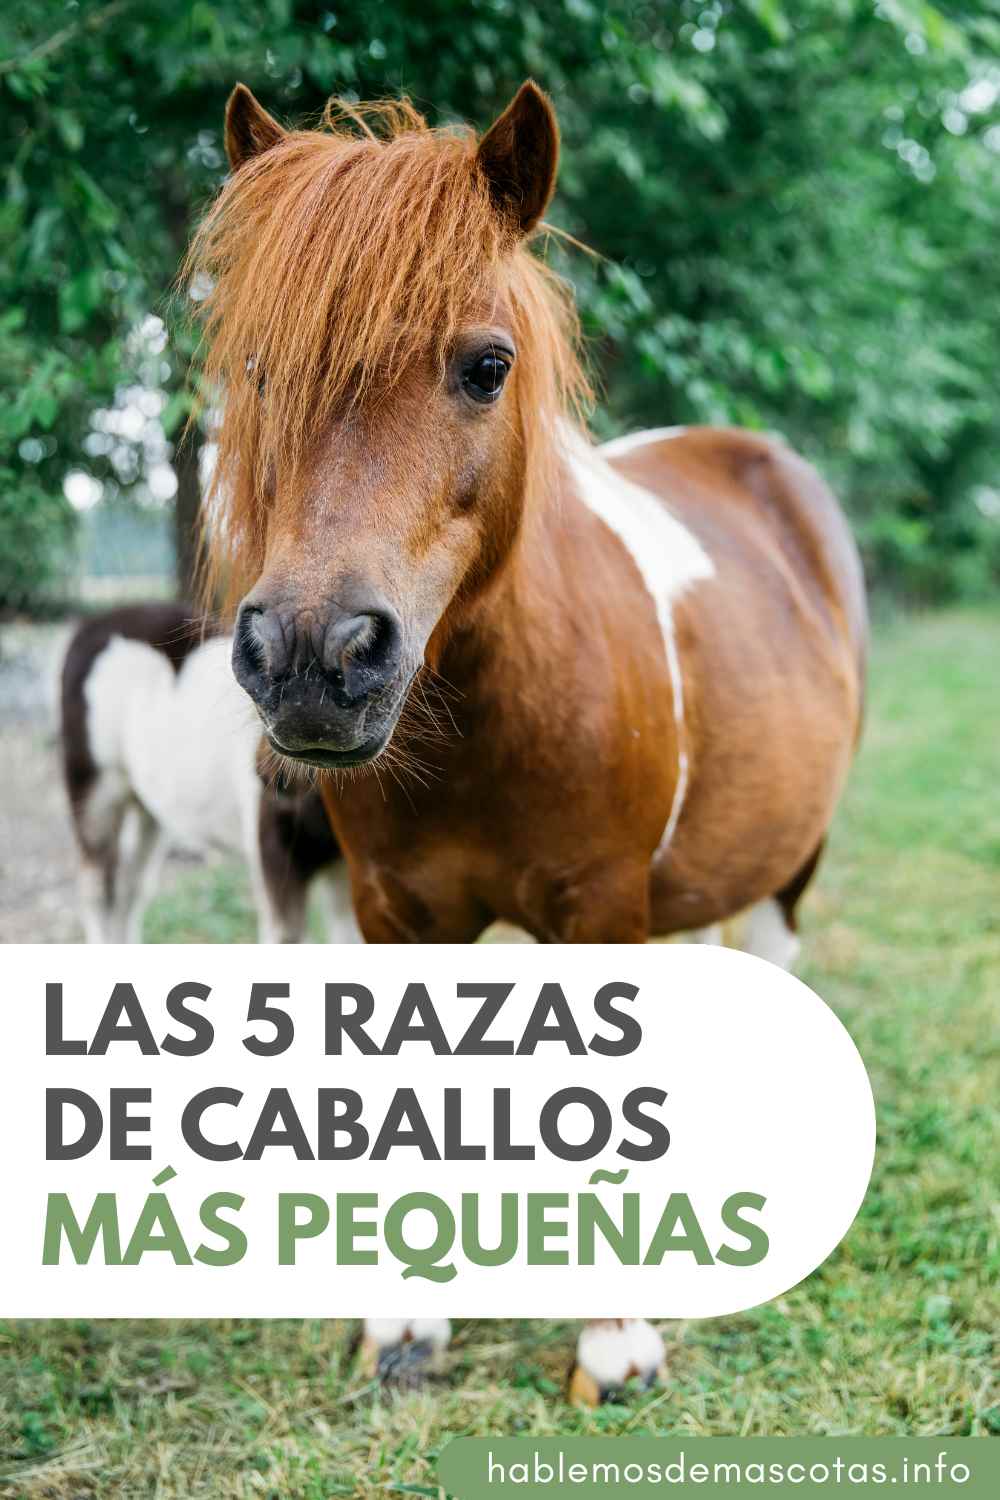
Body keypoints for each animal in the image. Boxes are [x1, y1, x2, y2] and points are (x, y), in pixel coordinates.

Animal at [60, 603, 347, 943]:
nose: (269, 777)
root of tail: (88, 626)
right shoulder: (275, 853)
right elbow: (286, 934)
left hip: (147, 806)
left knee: (131, 888)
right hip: (95, 786)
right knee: (97, 889)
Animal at [185, 80, 867, 1401]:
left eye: (486, 366)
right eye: (255, 367)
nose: (311, 657)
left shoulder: (600, 908)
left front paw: (613, 1336)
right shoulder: (395, 915)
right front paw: (406, 1319)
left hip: (793, 858)